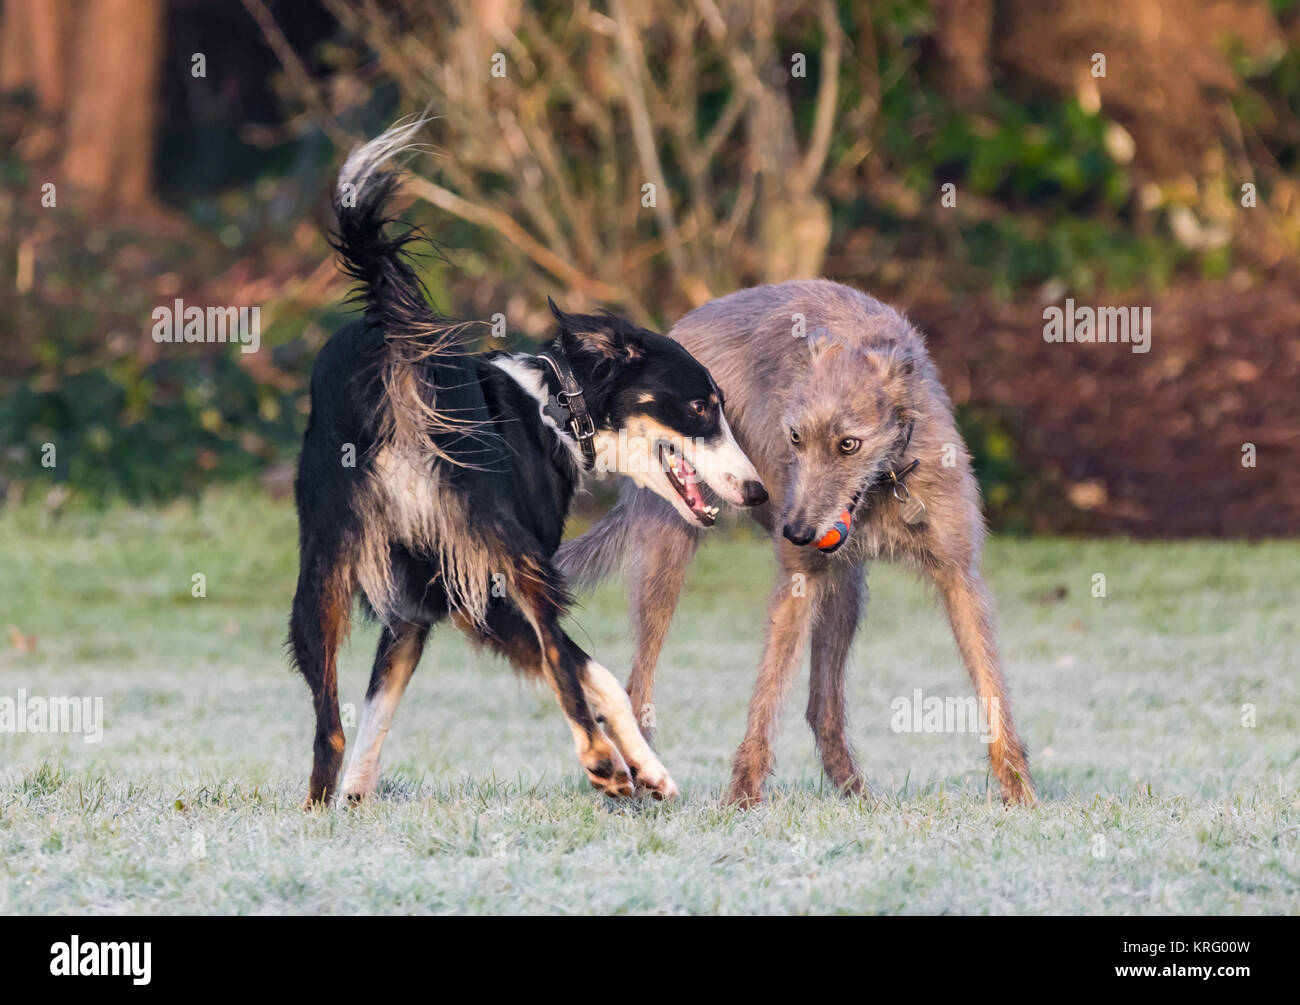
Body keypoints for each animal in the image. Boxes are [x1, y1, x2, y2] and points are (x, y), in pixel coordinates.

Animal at [289, 121, 764, 806]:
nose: (757, 492)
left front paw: (352, 799)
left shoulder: (425, 602)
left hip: (323, 570)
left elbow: (379, 707)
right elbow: (590, 673)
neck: (559, 407)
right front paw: (646, 768)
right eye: (702, 405)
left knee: (329, 728)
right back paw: (601, 761)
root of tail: (399, 360)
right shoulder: (491, 586)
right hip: (517, 562)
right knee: (562, 663)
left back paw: (317, 808)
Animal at [559, 278, 1034, 806]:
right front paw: (741, 800)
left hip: (846, 590)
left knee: (821, 705)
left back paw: (854, 791)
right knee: (638, 686)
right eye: (795, 438)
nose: (798, 531)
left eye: (848, 444)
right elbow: (765, 698)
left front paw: (1020, 793)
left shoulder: (959, 577)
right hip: (669, 552)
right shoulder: (797, 580)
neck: (884, 482)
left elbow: (992, 688)